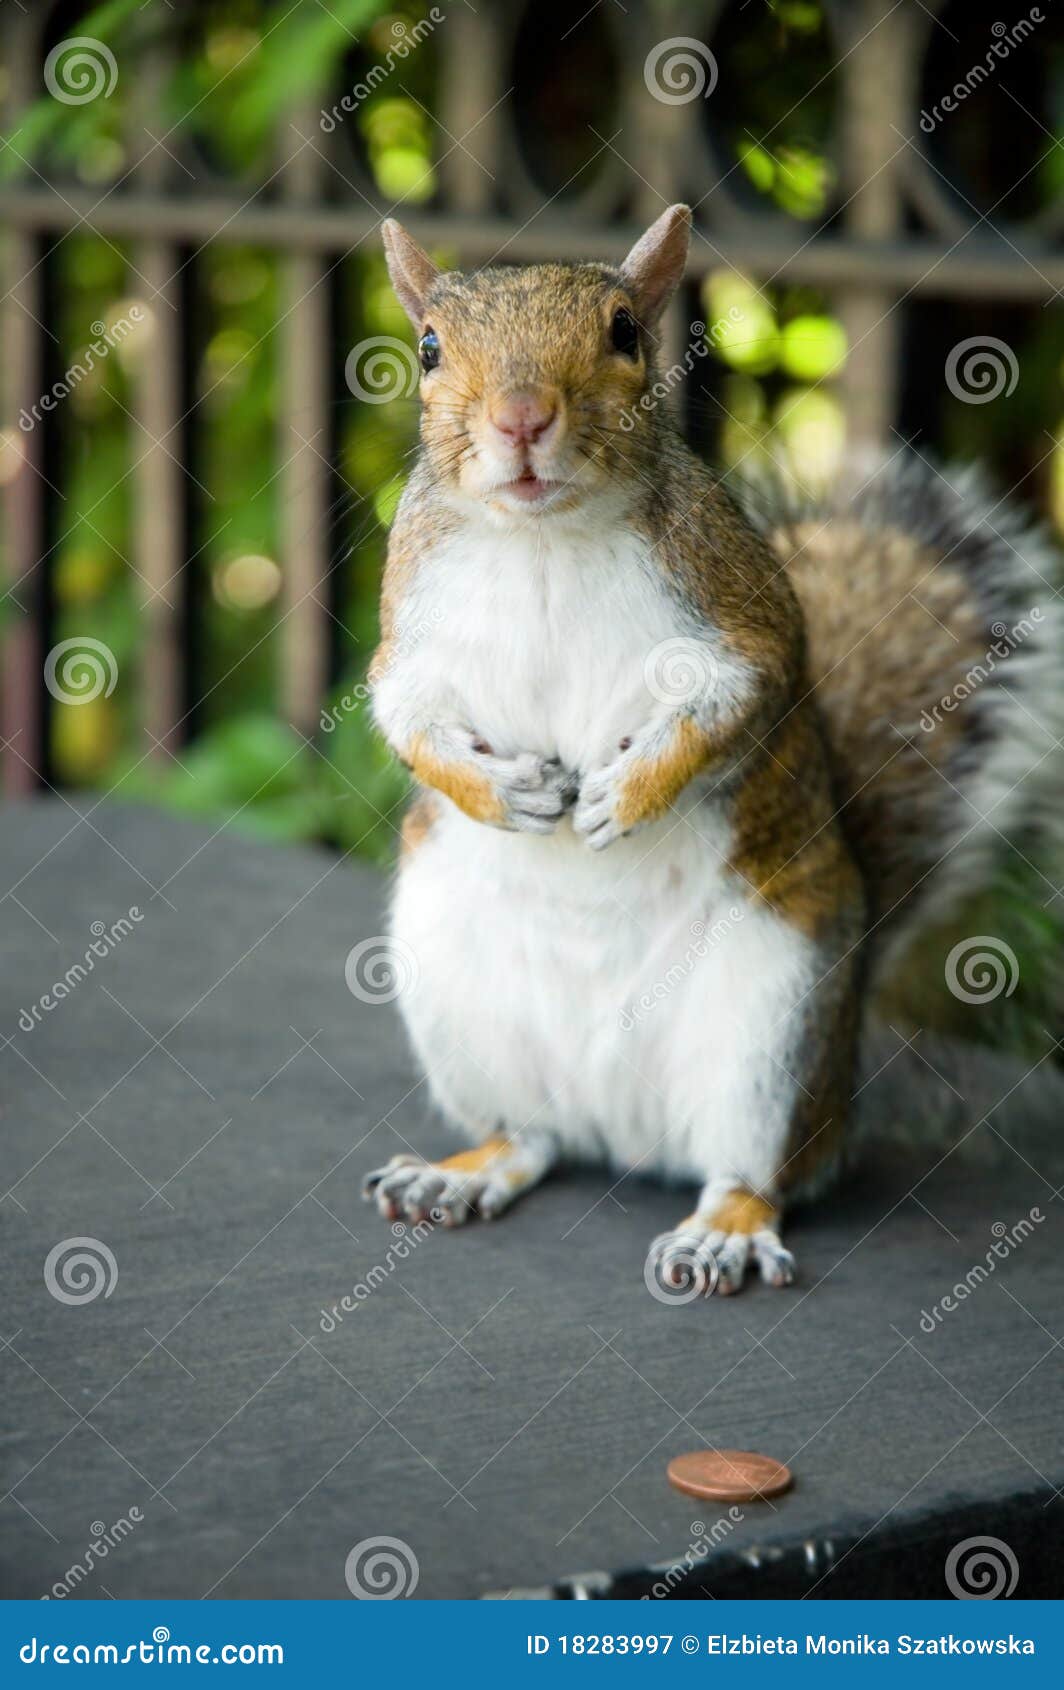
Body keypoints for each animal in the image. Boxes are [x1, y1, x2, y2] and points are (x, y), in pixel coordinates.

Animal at [362, 204, 1061, 1296]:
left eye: (622, 333)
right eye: (428, 349)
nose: (520, 418)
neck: (541, 540)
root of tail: (623, 1128)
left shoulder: (739, 620)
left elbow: (732, 705)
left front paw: (624, 795)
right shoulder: (412, 640)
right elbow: (408, 720)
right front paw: (504, 792)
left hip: (771, 1028)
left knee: (755, 1167)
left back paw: (721, 1227)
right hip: (454, 1000)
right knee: (531, 1137)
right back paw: (465, 1169)